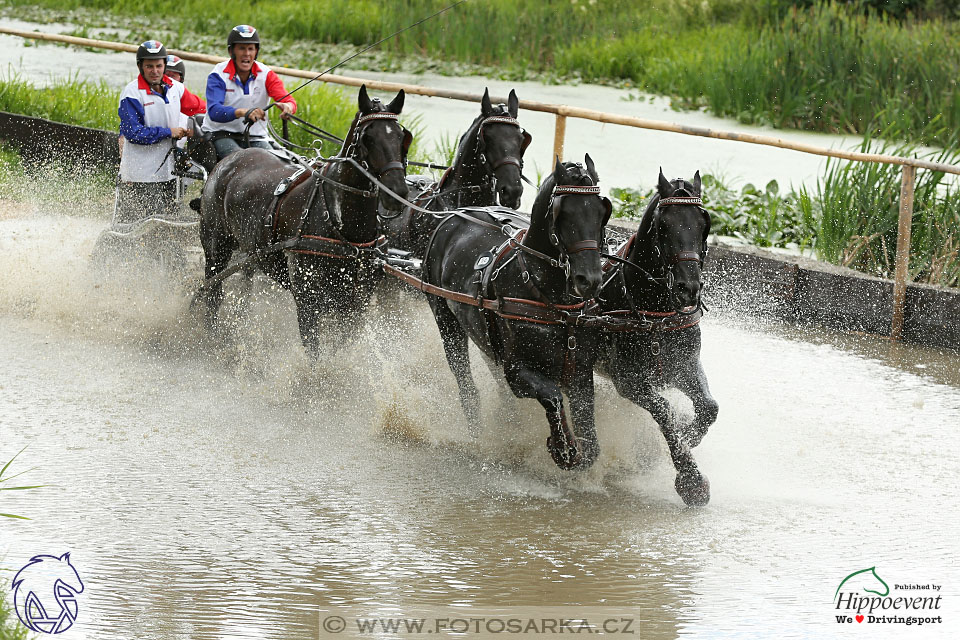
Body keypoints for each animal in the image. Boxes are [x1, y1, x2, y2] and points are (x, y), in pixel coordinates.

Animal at [199, 85, 408, 352]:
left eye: (402, 138)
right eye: (367, 138)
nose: (398, 192)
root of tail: (228, 161)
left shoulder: (355, 304)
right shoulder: (308, 300)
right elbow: (314, 349)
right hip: (216, 247)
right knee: (212, 293)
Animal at [424, 157, 612, 468]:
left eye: (601, 212)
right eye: (564, 213)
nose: (590, 280)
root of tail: (453, 217)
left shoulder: (581, 373)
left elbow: (592, 444)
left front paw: (576, 450)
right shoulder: (517, 372)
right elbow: (551, 395)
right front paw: (562, 448)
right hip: (444, 317)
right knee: (465, 382)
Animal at [596, 169, 716, 504]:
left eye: (705, 224)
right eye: (663, 226)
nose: (689, 288)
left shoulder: (684, 366)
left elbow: (709, 408)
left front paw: (686, 435)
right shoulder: (629, 380)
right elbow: (664, 410)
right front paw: (691, 480)